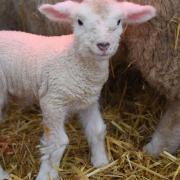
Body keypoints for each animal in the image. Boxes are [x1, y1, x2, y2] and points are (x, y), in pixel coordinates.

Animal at [0, 0, 155, 179]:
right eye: (79, 21)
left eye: (118, 22)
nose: (103, 45)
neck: (74, 59)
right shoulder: (52, 101)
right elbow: (57, 142)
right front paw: (47, 174)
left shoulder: (89, 99)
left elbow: (97, 130)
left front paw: (101, 162)